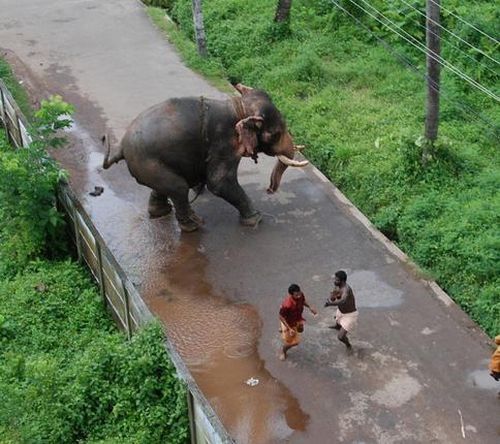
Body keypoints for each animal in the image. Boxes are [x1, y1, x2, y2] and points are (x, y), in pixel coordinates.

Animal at [102, 83, 308, 232]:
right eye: (275, 134)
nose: (270, 190)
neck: (239, 107)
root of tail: (121, 147)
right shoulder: (223, 144)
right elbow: (219, 182)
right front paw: (256, 220)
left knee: (165, 187)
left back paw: (161, 212)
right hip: (148, 163)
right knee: (178, 188)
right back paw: (193, 226)